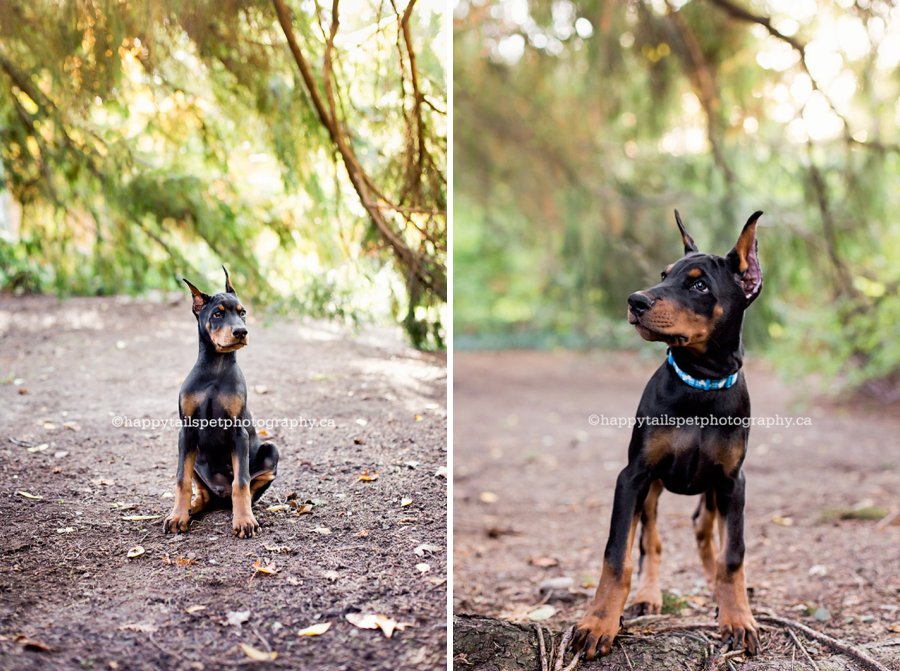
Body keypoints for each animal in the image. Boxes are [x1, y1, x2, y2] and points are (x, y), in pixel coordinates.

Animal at [163, 268, 278, 540]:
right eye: (217, 313)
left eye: (242, 312)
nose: (241, 332)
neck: (215, 370)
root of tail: (220, 498)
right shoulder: (186, 431)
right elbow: (181, 479)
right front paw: (177, 516)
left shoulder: (238, 432)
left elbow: (241, 481)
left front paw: (244, 521)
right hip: (195, 457)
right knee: (203, 493)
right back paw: (192, 509)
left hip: (271, 450)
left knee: (247, 488)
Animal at [572, 211, 764, 660]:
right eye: (663, 275)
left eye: (699, 285)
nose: (635, 301)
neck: (700, 383)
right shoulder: (634, 475)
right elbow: (617, 555)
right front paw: (598, 622)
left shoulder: (733, 480)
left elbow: (733, 554)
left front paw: (738, 618)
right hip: (654, 488)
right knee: (652, 543)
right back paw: (647, 595)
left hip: (713, 487)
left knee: (705, 530)